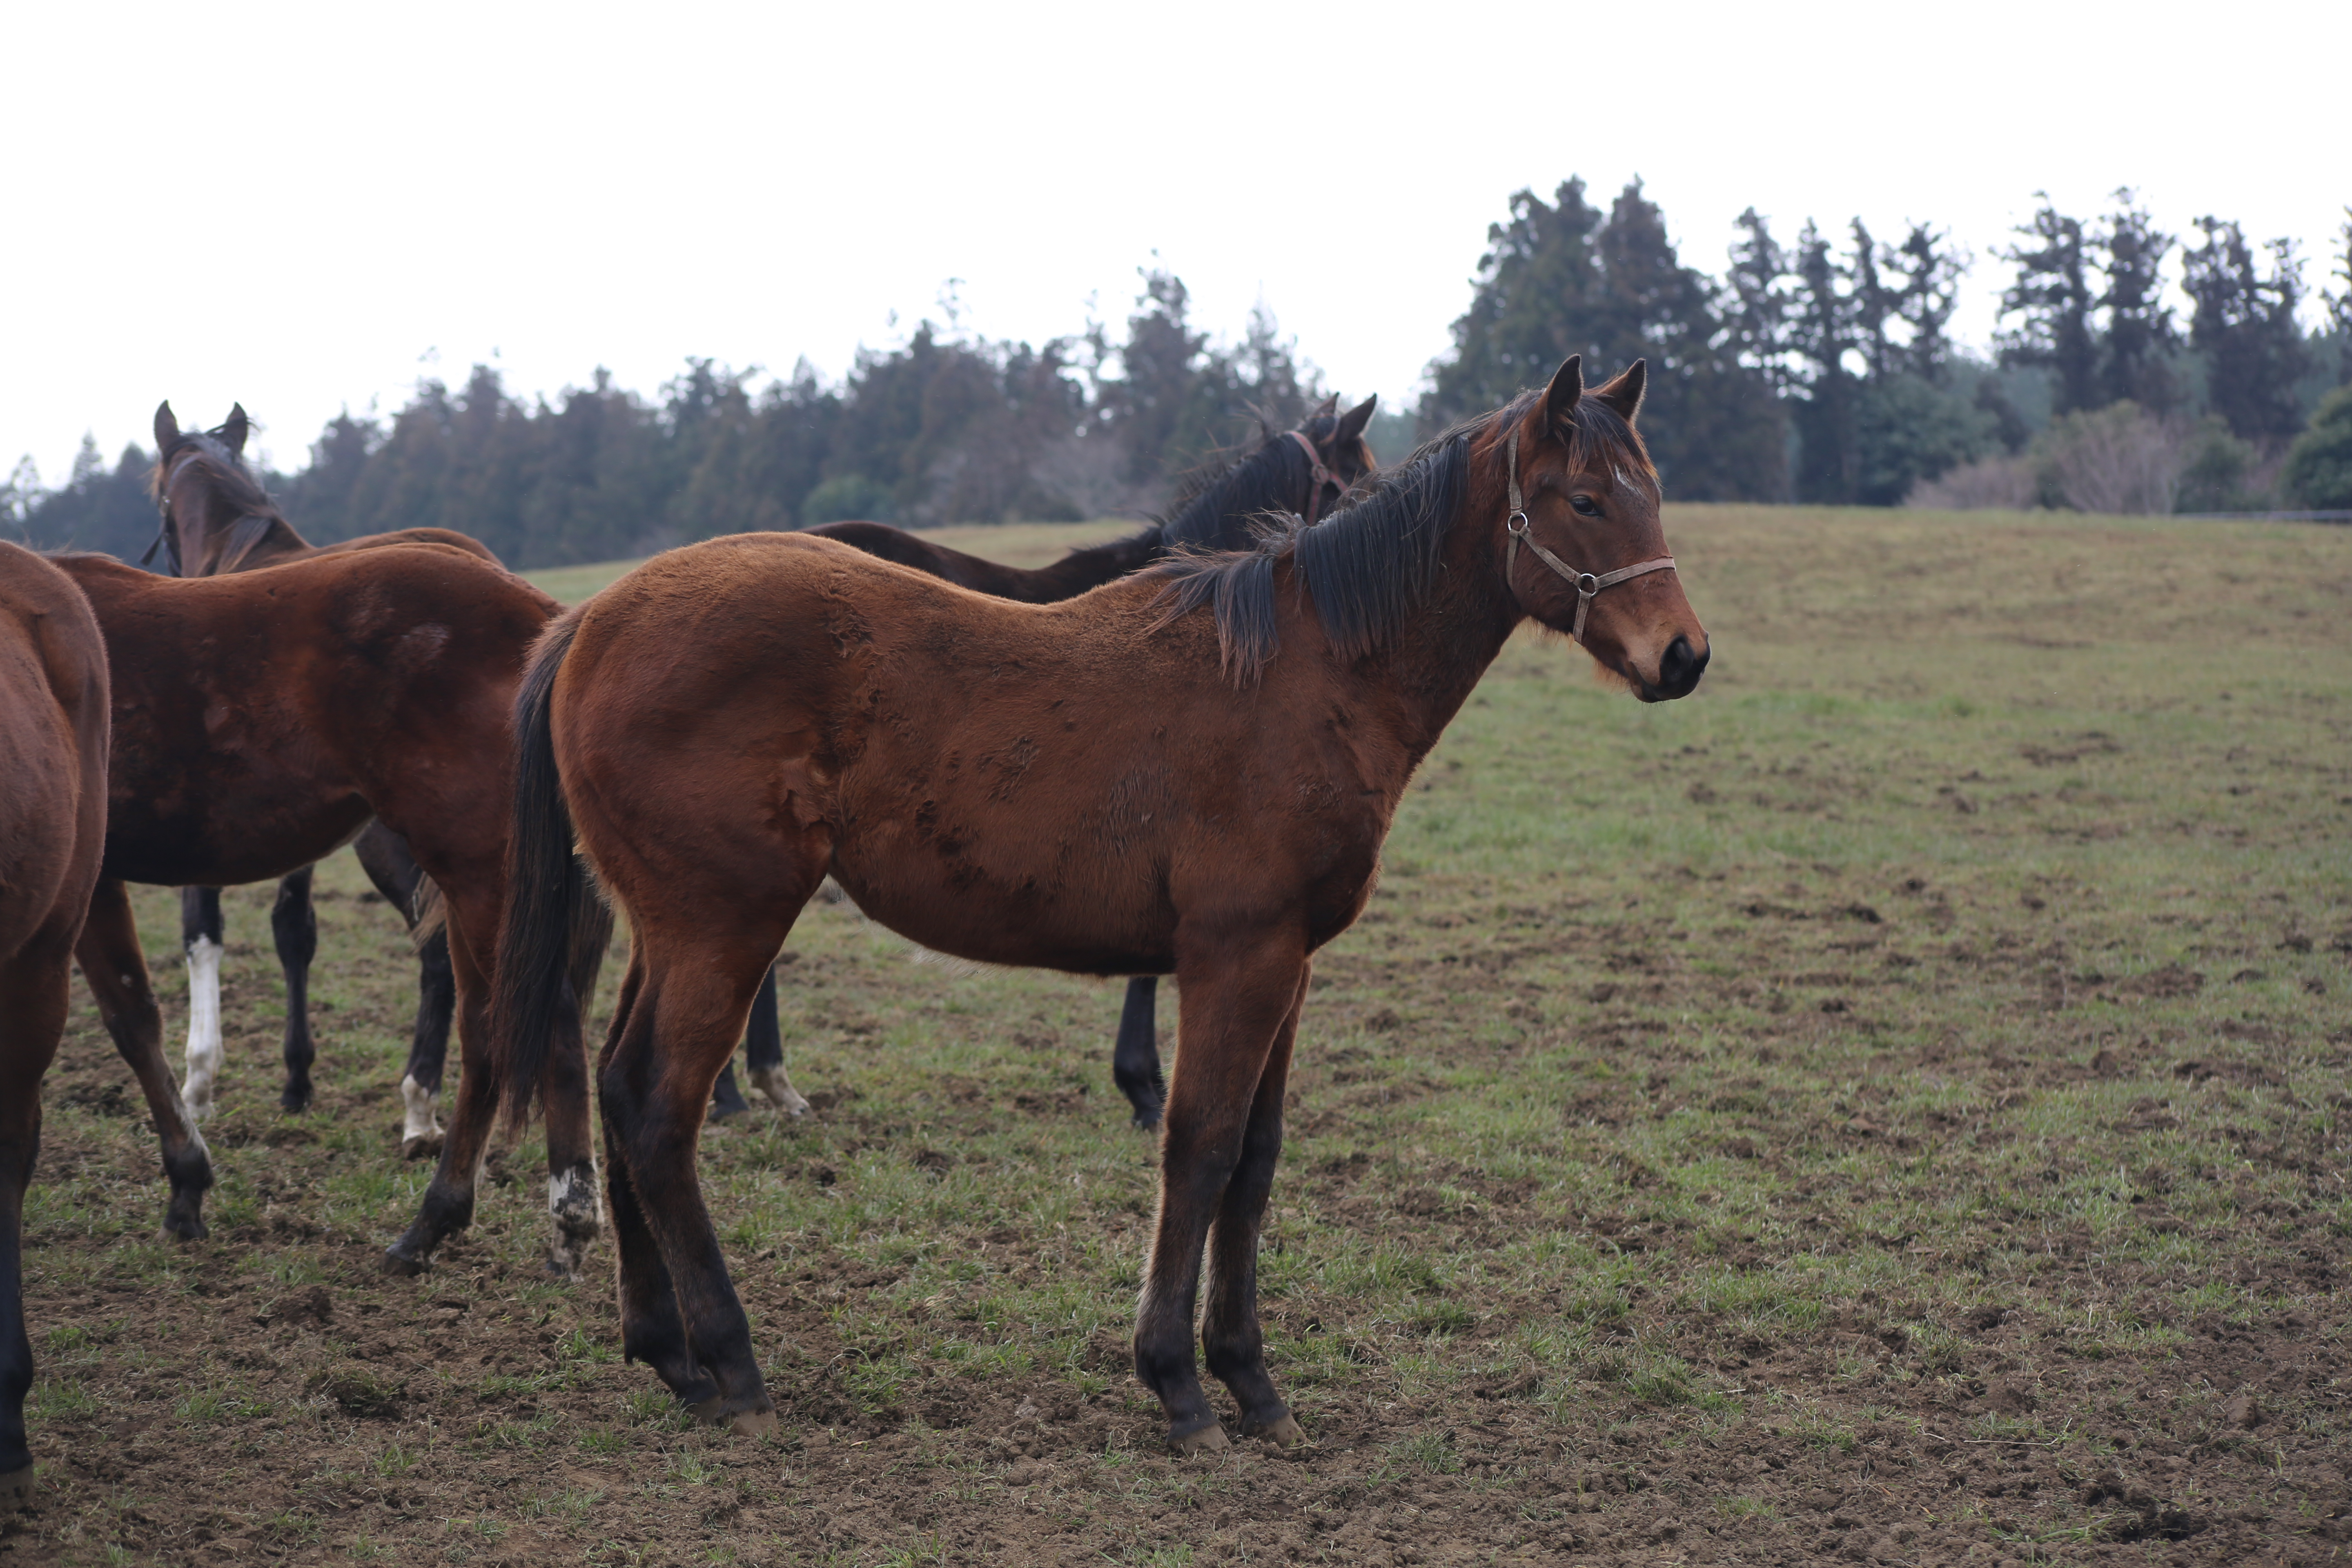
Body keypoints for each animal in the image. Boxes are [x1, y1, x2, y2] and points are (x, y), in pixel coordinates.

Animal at [56, 545, 611, 1269]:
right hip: (475, 884)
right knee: (488, 1031)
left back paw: (566, 1215)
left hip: (481, 877)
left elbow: (131, 1021)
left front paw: (187, 1182)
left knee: (547, 1025)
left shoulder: (85, 881)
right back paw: (434, 1219)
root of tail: (544, 617)